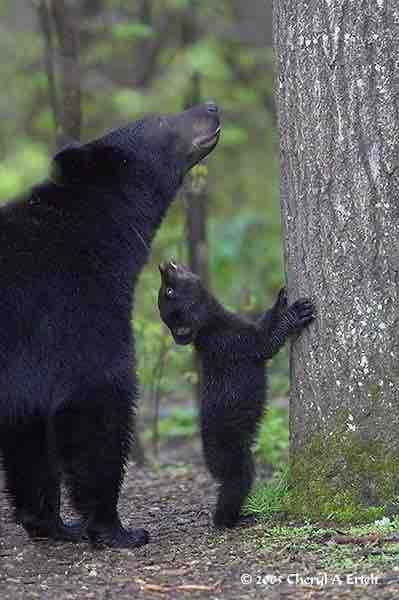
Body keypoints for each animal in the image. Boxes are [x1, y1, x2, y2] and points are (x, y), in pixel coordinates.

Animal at [0, 102, 220, 548]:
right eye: (159, 120)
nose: (211, 106)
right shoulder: (74, 307)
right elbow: (99, 401)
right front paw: (116, 528)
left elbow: (29, 430)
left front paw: (50, 523)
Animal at [158, 262, 314, 528]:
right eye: (168, 290)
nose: (164, 266)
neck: (212, 324)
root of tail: (207, 458)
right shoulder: (235, 342)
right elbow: (265, 342)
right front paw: (297, 310)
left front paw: (281, 298)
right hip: (233, 454)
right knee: (235, 485)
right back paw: (229, 520)